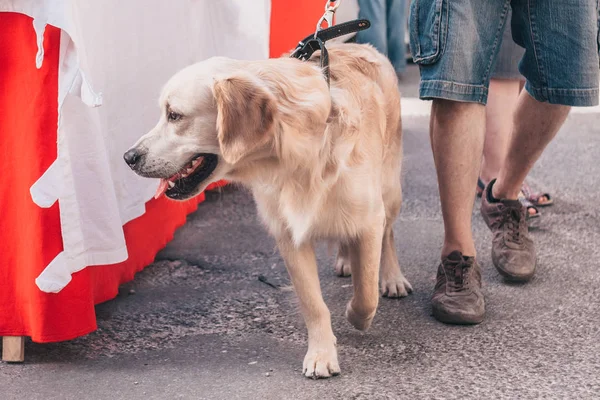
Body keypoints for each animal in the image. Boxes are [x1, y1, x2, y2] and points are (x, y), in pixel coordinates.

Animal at [122, 43, 412, 378]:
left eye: (174, 115)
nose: (129, 157)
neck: (296, 157)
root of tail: (362, 45)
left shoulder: (368, 218)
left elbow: (366, 293)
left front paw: (354, 313)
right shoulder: (289, 234)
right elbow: (313, 304)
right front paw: (321, 354)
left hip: (390, 190)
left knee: (388, 235)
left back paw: (392, 277)